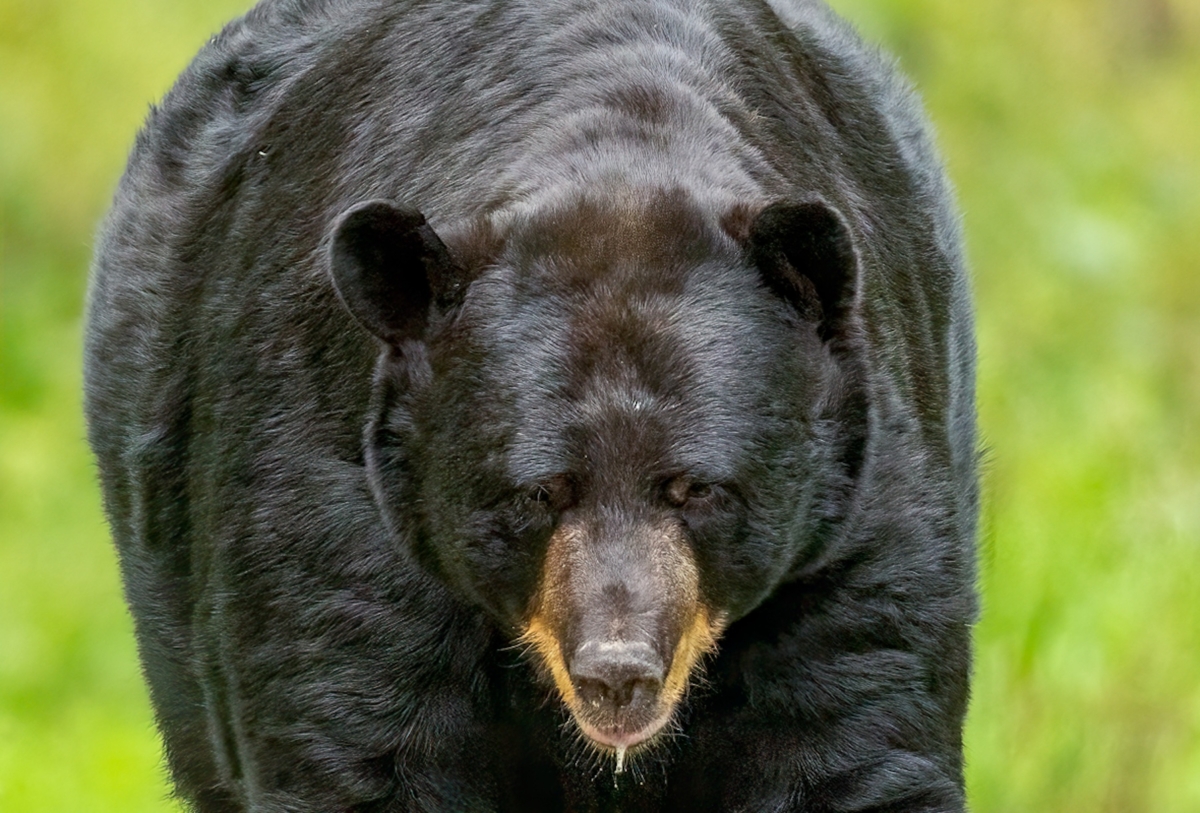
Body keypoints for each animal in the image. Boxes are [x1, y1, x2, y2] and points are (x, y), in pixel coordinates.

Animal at [83, 0, 977, 810]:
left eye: (698, 487)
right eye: (538, 491)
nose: (618, 674)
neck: (620, 160)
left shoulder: (856, 517)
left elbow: (849, 742)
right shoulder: (338, 500)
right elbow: (363, 740)